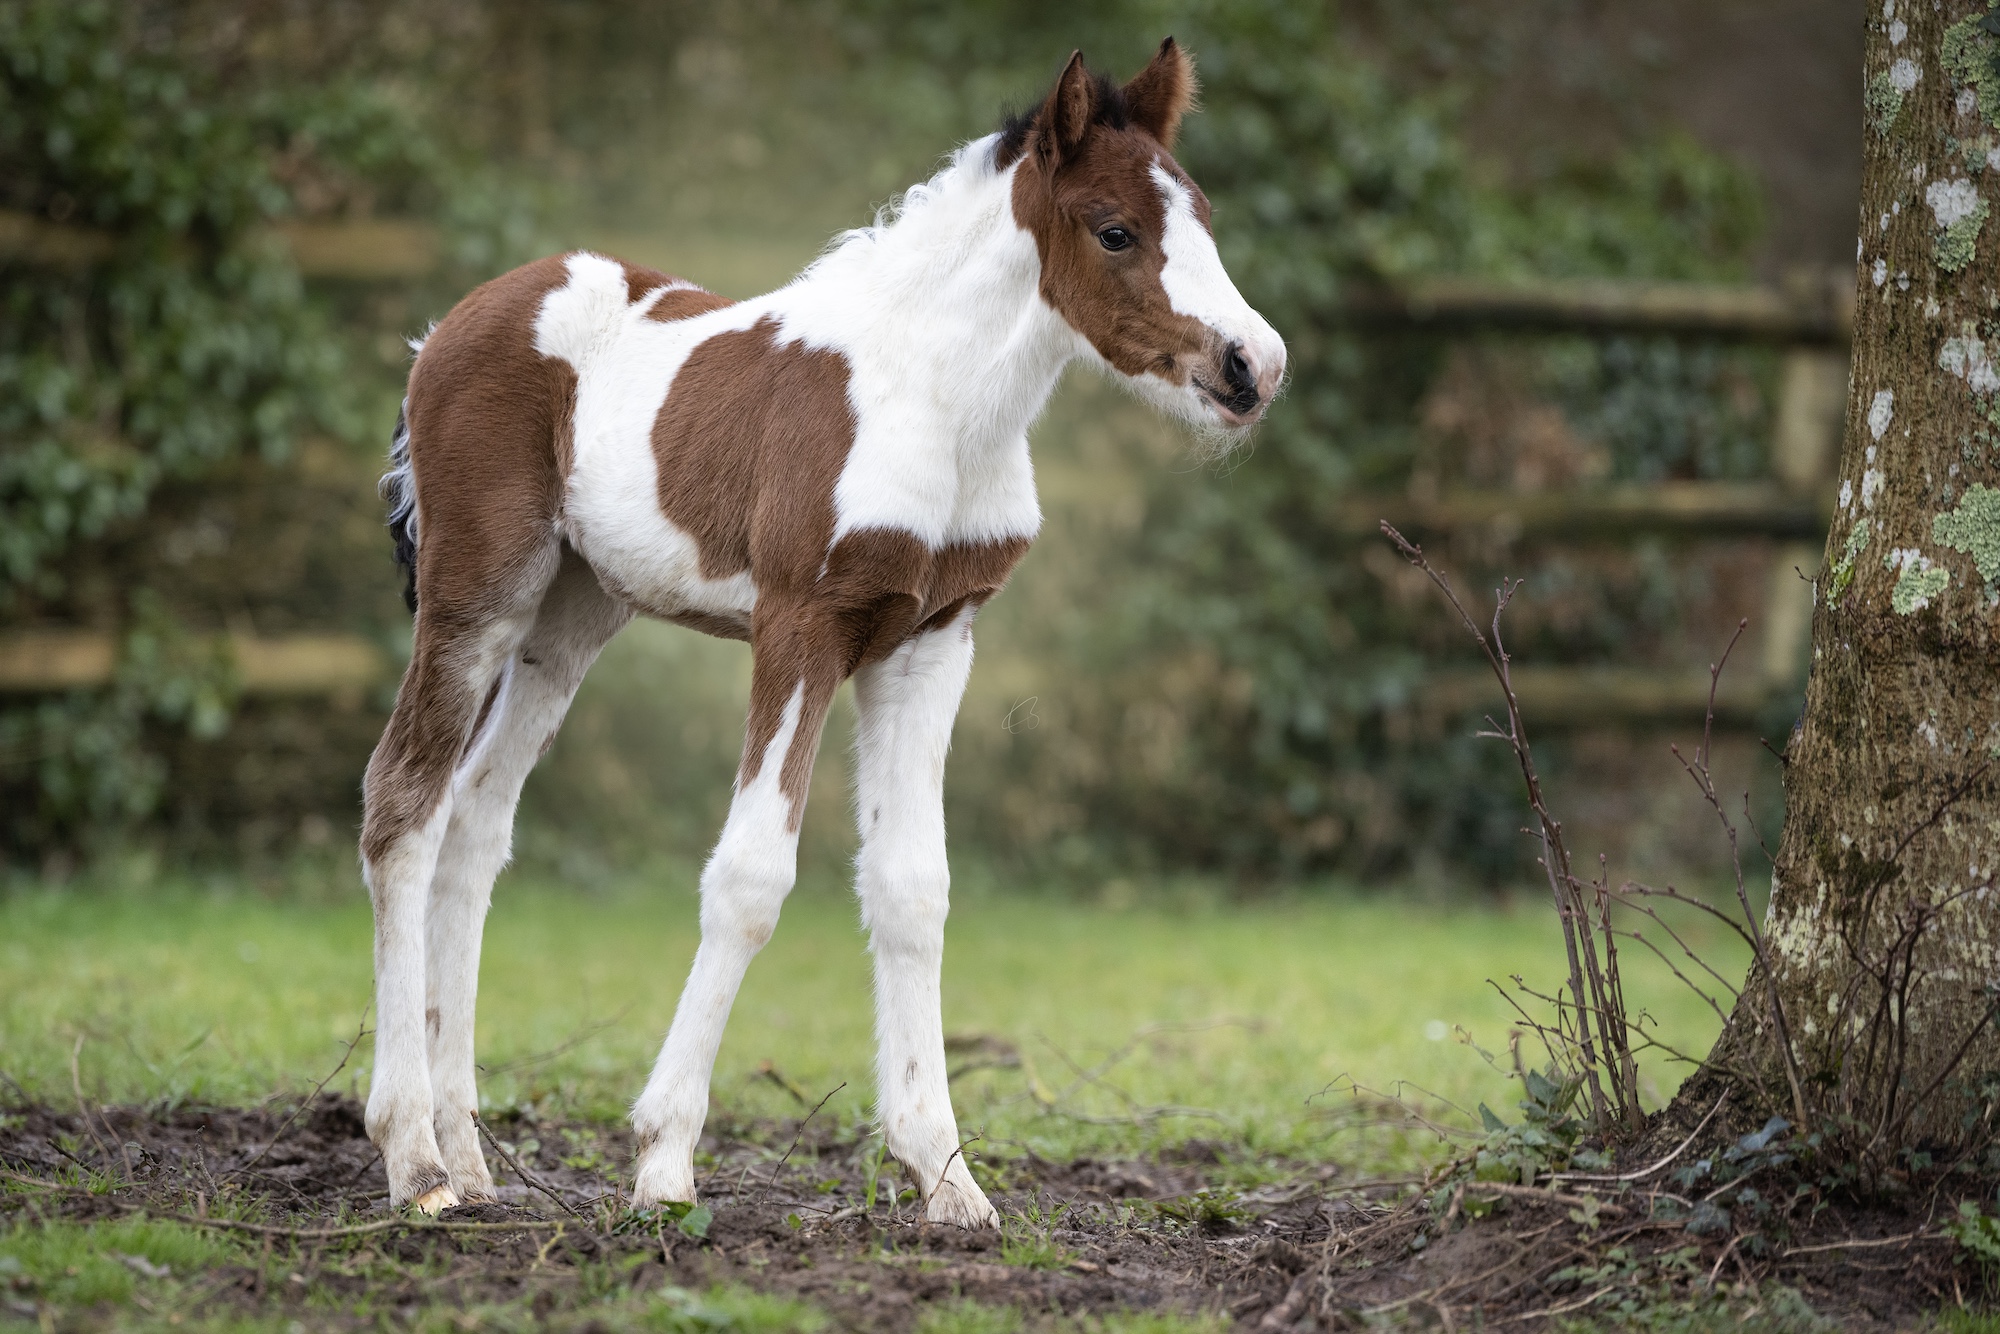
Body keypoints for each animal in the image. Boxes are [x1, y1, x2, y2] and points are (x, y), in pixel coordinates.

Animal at [362, 39, 1288, 1232]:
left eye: (1204, 215)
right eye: (1115, 229)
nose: (1251, 367)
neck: (934, 402)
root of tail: (448, 326)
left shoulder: (930, 638)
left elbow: (912, 887)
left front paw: (947, 1178)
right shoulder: (799, 627)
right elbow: (752, 876)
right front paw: (663, 1164)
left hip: (570, 614)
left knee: (476, 821)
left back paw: (472, 1160)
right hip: (478, 593)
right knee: (404, 806)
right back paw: (415, 1162)